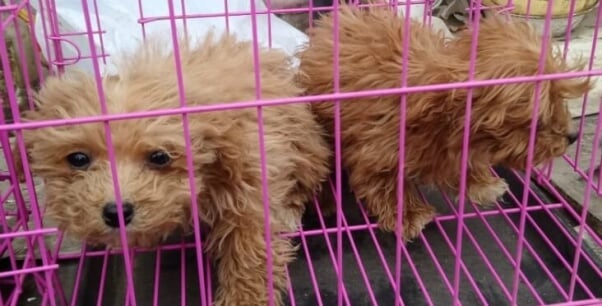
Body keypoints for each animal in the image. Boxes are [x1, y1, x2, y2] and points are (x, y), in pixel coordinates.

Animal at [16, 33, 330, 306]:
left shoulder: (250, 181)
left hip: (306, 146)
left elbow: (249, 246)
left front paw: (244, 299)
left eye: (159, 157)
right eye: (78, 158)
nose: (117, 212)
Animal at [298, 5, 588, 239]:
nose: (573, 135)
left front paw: (482, 183)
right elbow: (386, 181)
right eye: (539, 117)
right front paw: (409, 214)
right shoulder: (379, 150)